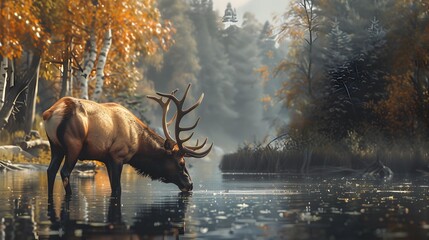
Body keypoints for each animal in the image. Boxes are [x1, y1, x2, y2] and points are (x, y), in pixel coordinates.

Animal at [42, 84, 211, 197]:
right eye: (181, 162)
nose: (190, 184)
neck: (138, 143)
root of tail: (49, 113)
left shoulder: (106, 159)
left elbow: (112, 187)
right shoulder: (118, 155)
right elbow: (117, 189)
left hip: (55, 146)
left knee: (50, 171)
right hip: (74, 144)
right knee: (64, 171)